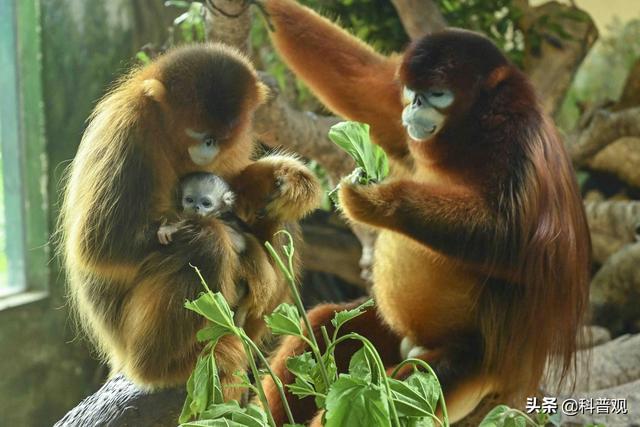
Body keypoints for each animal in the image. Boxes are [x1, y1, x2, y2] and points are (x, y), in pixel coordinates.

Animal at [260, 0, 592, 422]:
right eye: (412, 92)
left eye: (436, 94)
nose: (415, 105)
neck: (471, 135)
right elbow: (369, 92)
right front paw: (265, 9)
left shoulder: (521, 146)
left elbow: (522, 250)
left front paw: (380, 199)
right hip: (387, 330)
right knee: (324, 325)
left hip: (457, 369)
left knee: (393, 388)